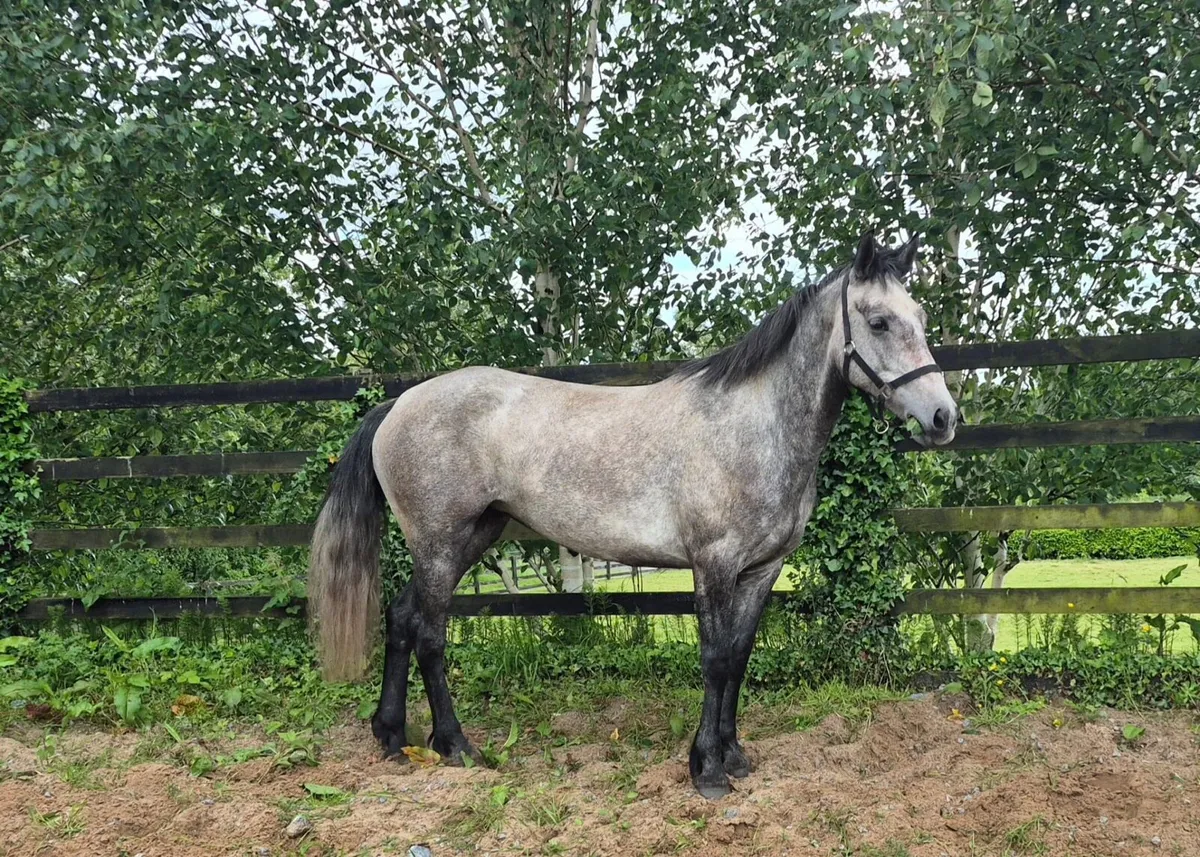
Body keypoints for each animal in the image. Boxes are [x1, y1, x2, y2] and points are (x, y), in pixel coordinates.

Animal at [306, 231, 958, 799]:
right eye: (878, 321)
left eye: (922, 318)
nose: (943, 418)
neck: (753, 427)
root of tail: (399, 402)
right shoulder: (713, 564)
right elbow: (716, 660)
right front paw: (707, 771)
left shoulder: (761, 570)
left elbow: (740, 657)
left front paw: (735, 756)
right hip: (440, 543)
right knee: (429, 635)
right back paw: (456, 747)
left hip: (467, 539)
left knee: (400, 619)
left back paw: (392, 737)